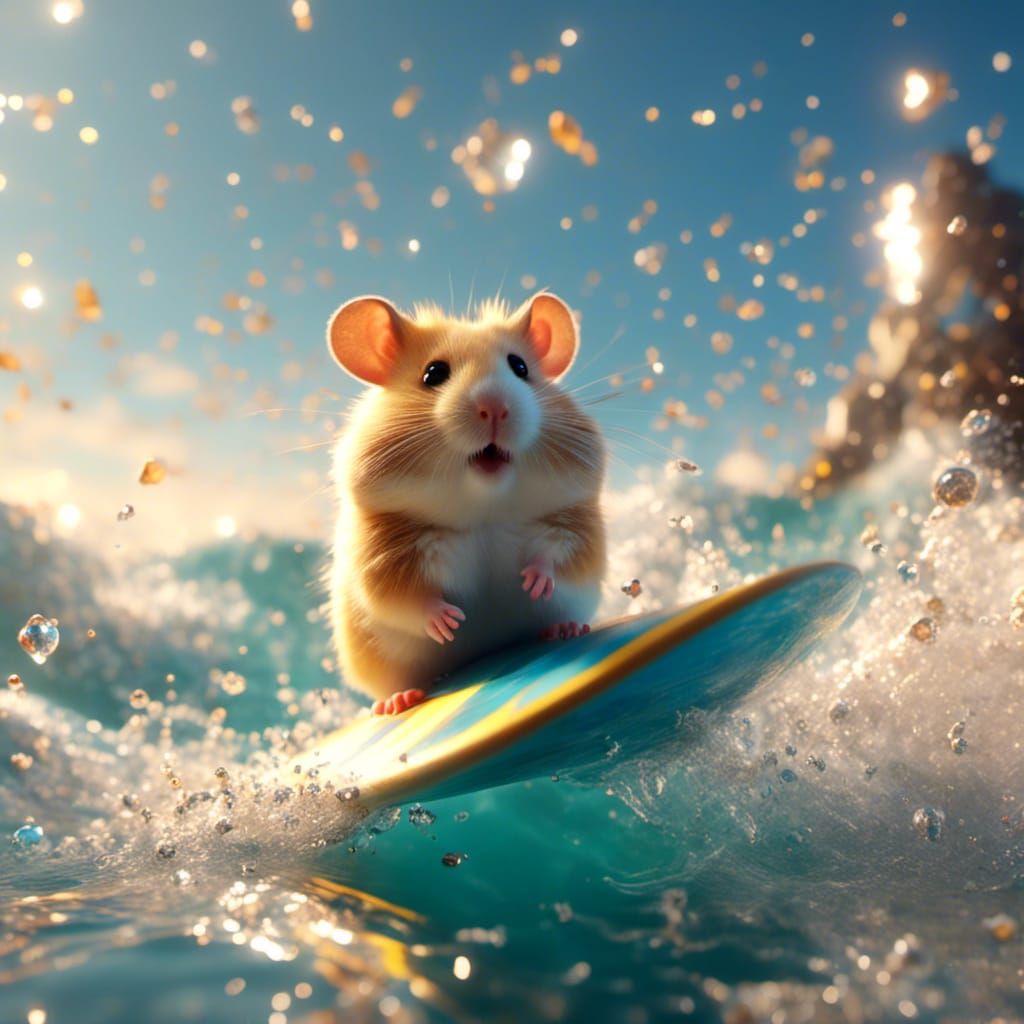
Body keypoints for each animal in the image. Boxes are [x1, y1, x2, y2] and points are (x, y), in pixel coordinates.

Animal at [326, 292, 606, 714]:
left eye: (520, 367)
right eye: (433, 373)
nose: (495, 408)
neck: (485, 510)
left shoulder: (573, 525)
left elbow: (559, 558)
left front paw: (534, 582)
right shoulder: (385, 555)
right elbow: (405, 598)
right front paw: (448, 622)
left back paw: (566, 629)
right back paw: (398, 701)